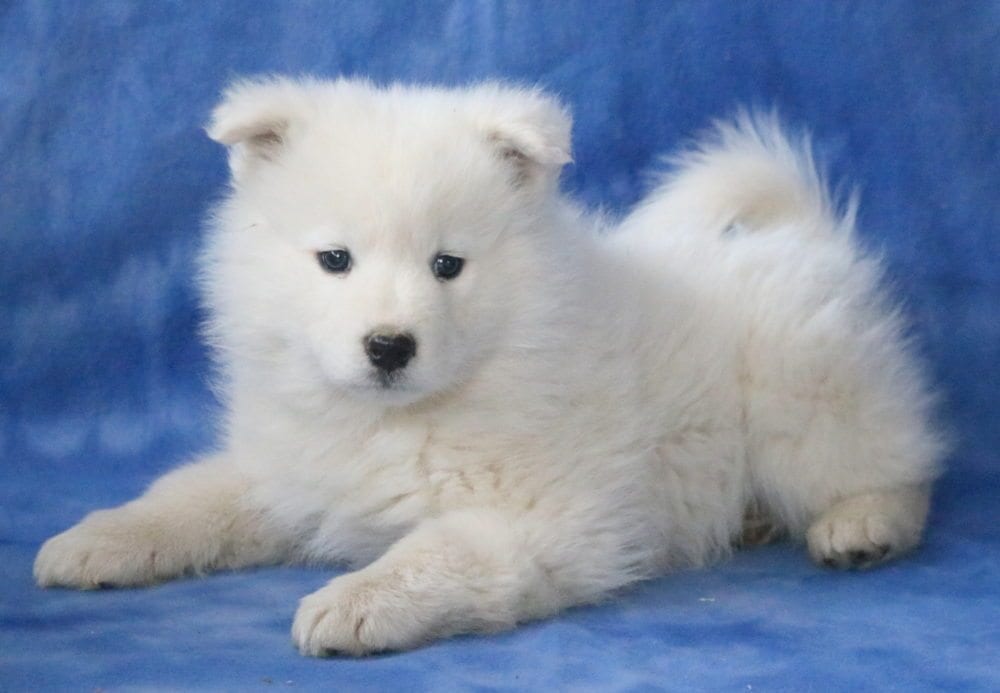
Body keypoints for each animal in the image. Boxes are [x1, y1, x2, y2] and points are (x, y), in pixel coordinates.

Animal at [33, 79, 944, 656]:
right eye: (334, 259)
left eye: (448, 265)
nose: (389, 345)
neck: (402, 417)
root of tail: (803, 233)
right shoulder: (289, 470)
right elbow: (188, 498)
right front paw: (95, 541)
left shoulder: (550, 516)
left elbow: (438, 552)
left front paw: (354, 601)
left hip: (807, 392)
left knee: (890, 462)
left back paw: (861, 526)